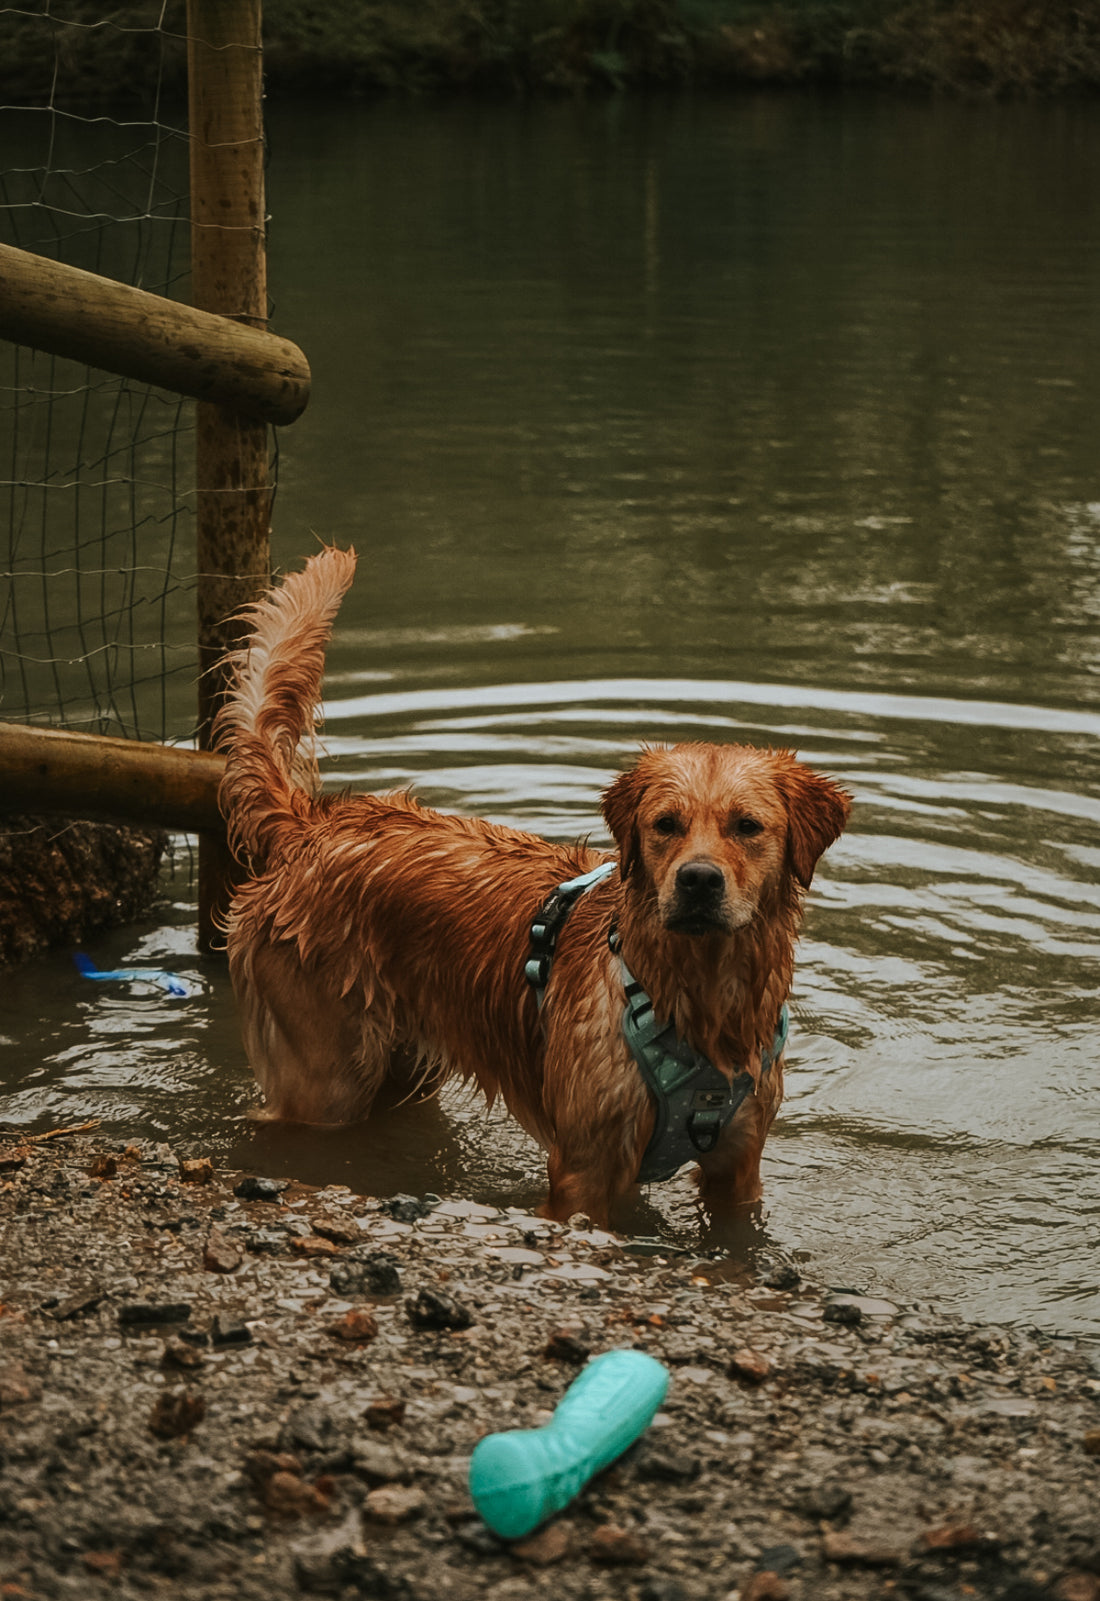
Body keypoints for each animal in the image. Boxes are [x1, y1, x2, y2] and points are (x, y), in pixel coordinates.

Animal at [217, 550, 851, 1223]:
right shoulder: (584, 1168)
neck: (700, 997)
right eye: (665, 825)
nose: (699, 881)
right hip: (325, 1079)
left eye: (747, 826)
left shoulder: (739, 1164)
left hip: (403, 1068)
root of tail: (310, 824)